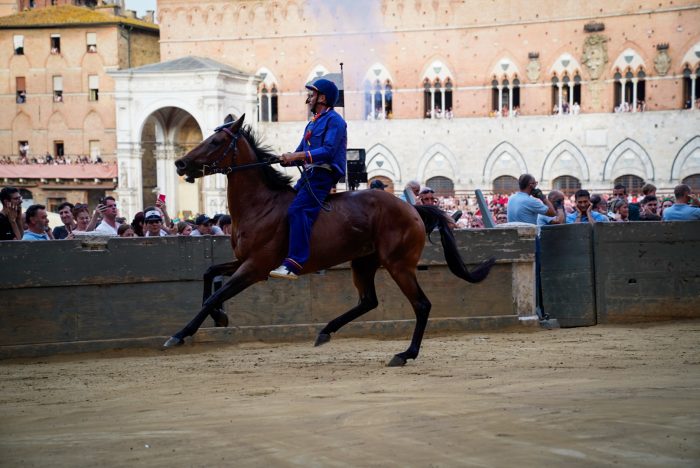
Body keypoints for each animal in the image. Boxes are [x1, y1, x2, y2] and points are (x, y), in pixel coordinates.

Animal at [166, 113, 494, 366]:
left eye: (216, 142)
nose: (180, 164)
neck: (261, 205)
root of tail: (412, 208)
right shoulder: (243, 261)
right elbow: (210, 275)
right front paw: (219, 317)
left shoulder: (256, 267)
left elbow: (215, 294)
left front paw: (180, 334)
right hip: (363, 262)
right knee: (368, 301)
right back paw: (326, 330)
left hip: (398, 265)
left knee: (421, 305)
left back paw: (405, 354)